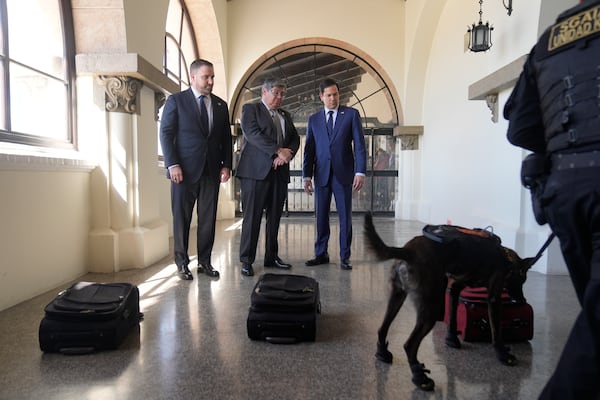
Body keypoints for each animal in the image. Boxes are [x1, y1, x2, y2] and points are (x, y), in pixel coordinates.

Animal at [364, 214, 540, 392]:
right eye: (522, 280)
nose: (522, 300)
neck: (505, 258)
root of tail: (408, 251)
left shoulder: (455, 287)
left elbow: (453, 315)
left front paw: (451, 338)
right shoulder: (494, 297)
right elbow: (496, 330)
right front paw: (503, 354)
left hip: (397, 296)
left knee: (382, 329)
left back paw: (382, 353)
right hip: (431, 311)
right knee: (409, 345)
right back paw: (419, 377)